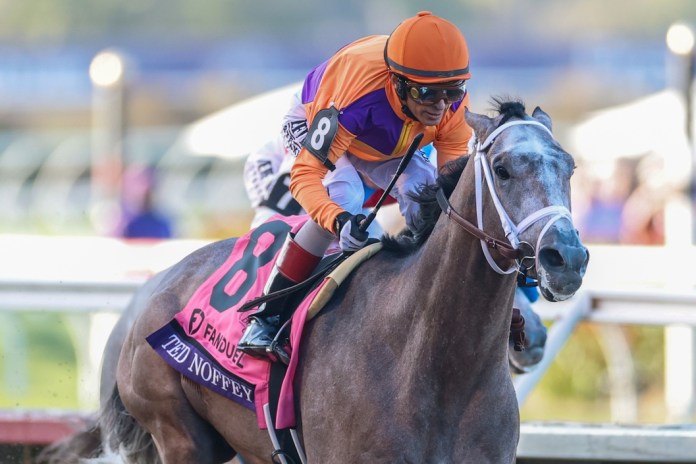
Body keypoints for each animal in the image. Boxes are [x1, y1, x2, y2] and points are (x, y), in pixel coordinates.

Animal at [39, 99, 588, 464]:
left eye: (570, 166)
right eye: (503, 167)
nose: (567, 258)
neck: (432, 361)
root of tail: (145, 297)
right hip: (177, 433)